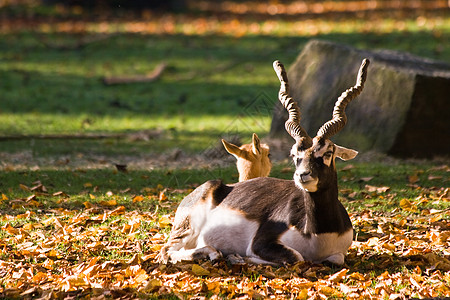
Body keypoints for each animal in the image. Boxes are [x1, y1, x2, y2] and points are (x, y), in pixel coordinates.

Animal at [158, 58, 370, 264]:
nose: (302, 175)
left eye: (328, 152)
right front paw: (241, 257)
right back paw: (217, 254)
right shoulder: (261, 243)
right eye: (294, 154)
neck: (317, 232)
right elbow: (297, 257)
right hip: (187, 229)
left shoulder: (338, 253)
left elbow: (336, 260)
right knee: (166, 252)